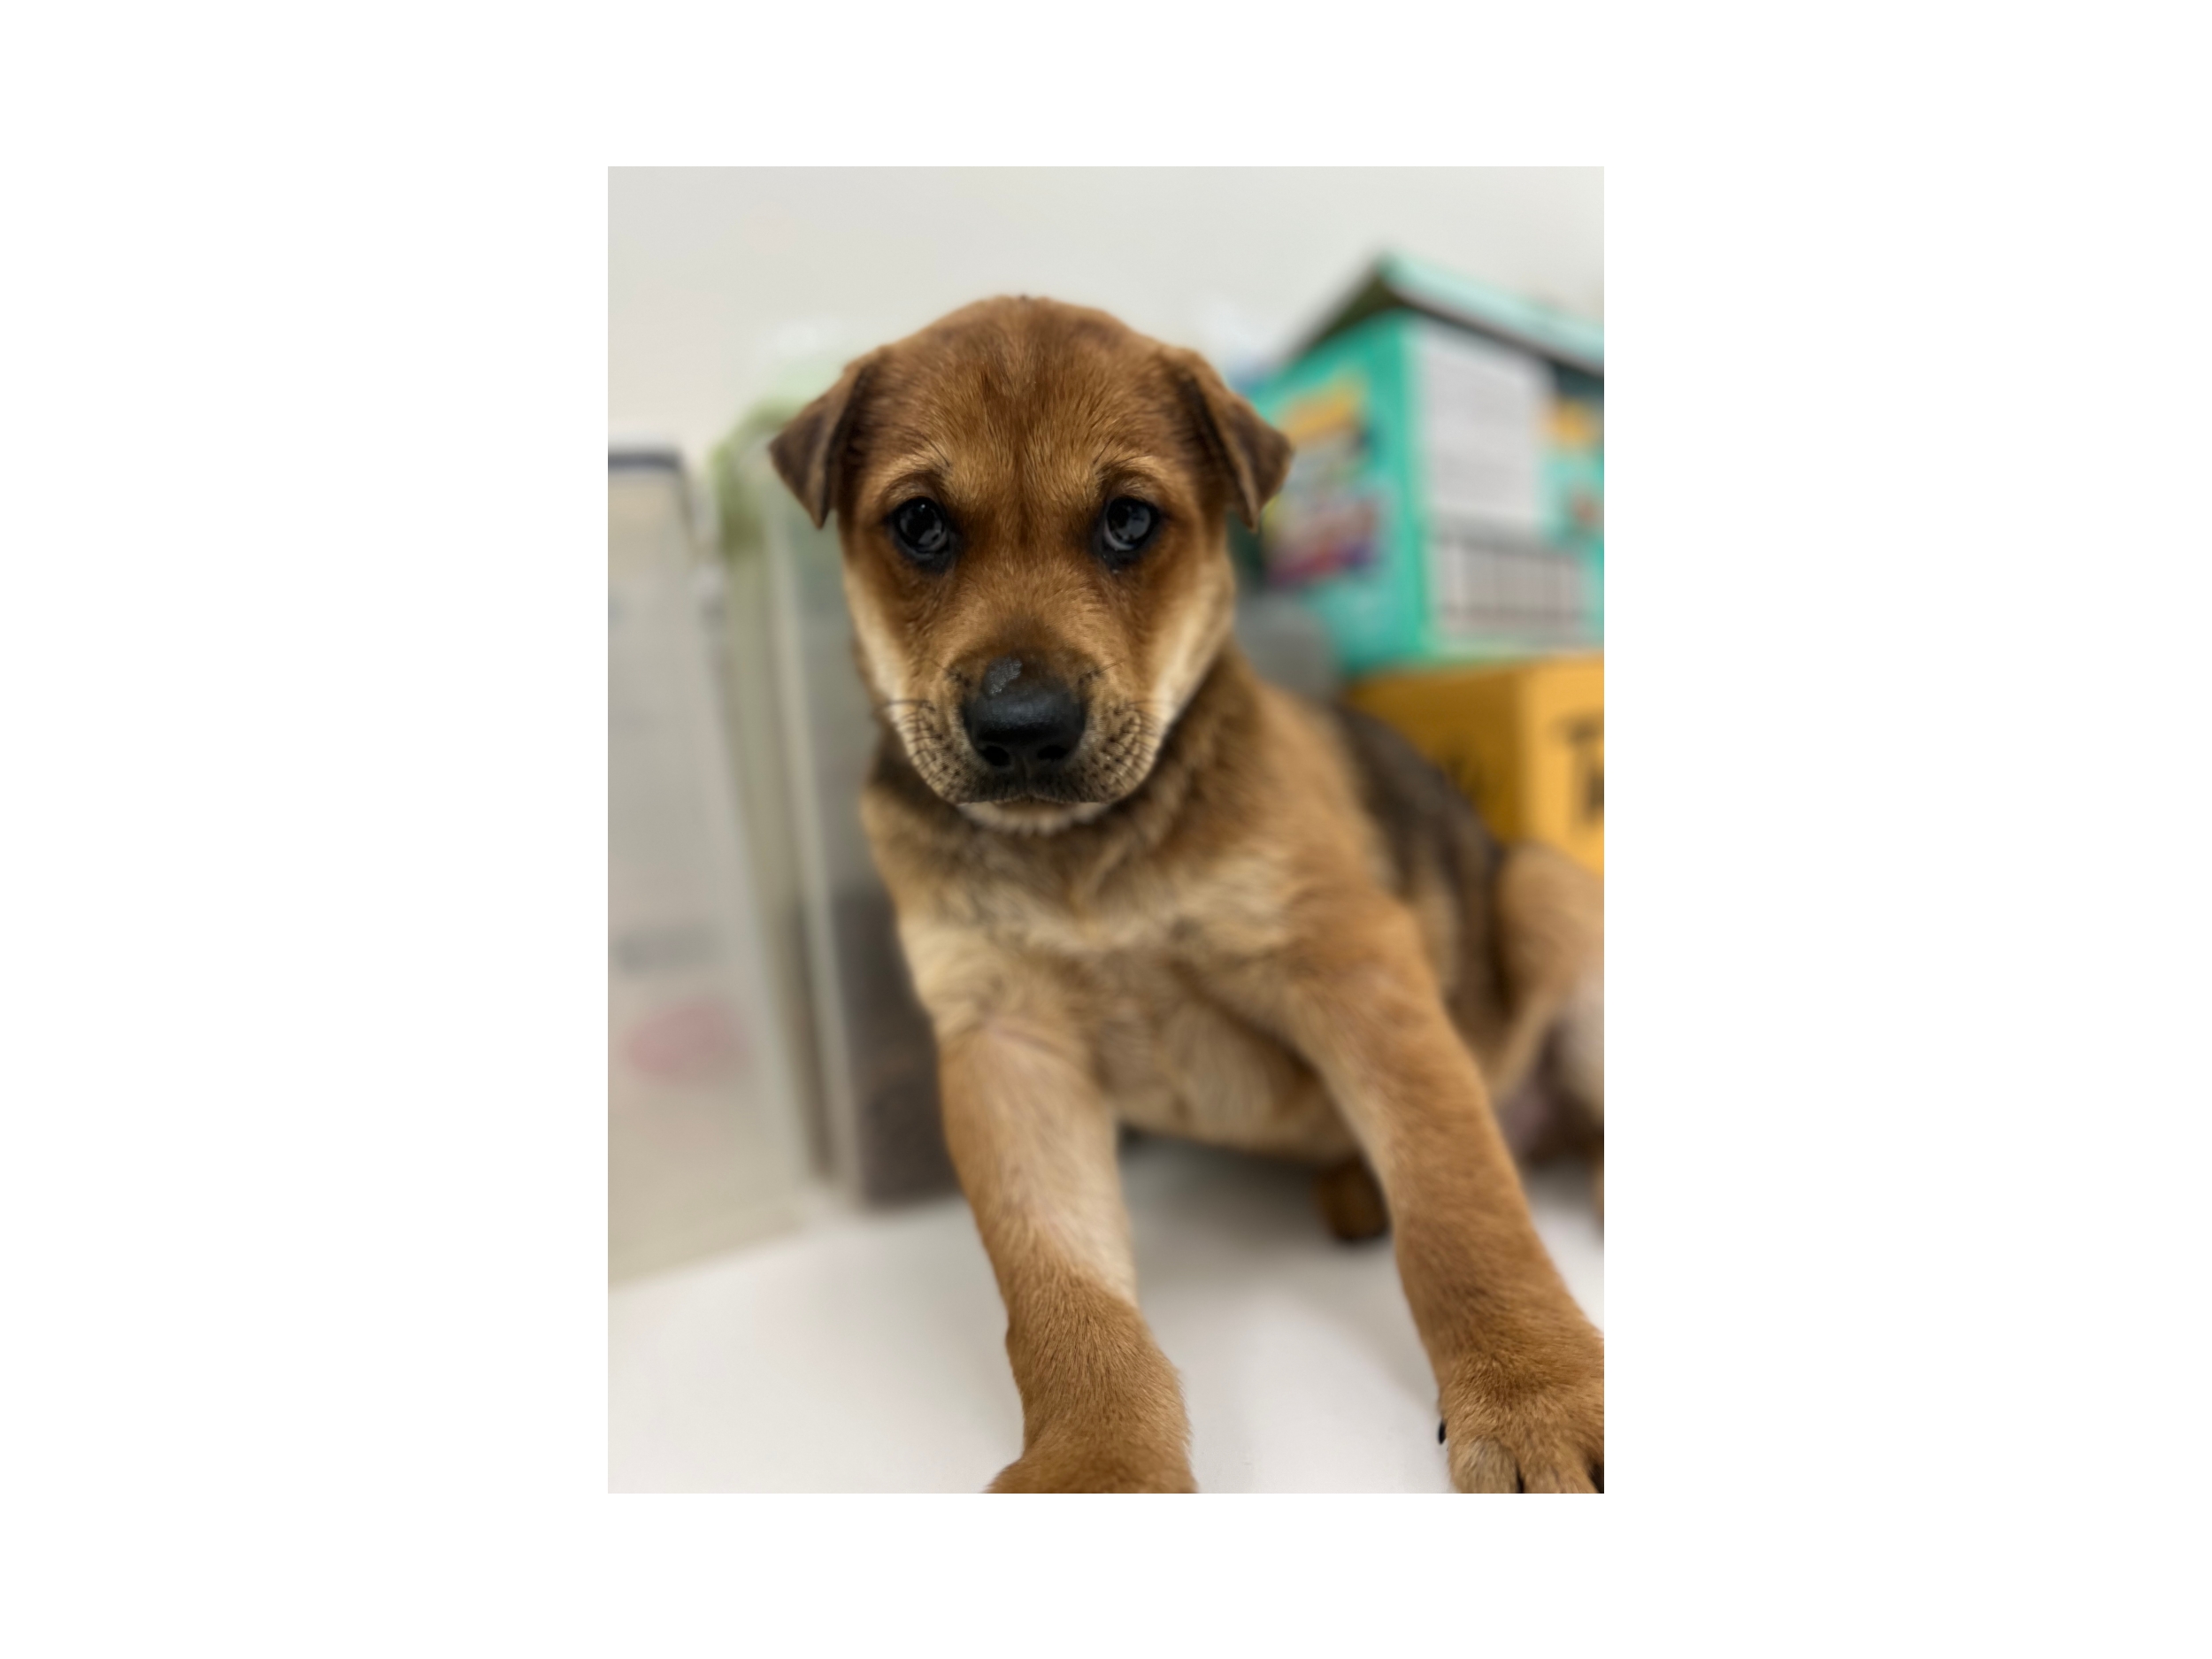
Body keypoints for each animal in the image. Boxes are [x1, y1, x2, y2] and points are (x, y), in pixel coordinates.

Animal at [770, 296, 1604, 1493]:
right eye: (920, 524)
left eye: (1129, 521)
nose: (1022, 730)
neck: (1082, 856)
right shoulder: (1007, 1047)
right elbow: (1058, 1290)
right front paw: (1099, 1466)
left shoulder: (1352, 965)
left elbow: (1461, 1207)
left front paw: (1537, 1392)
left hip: (1543, 890)